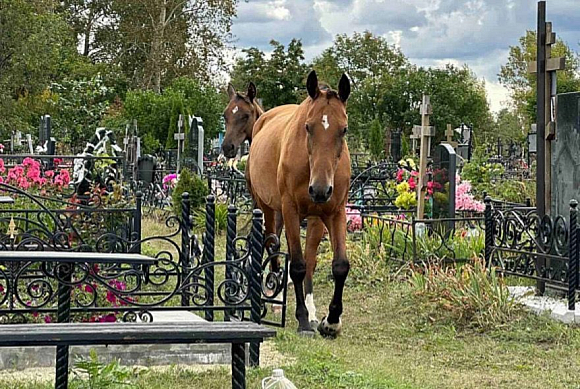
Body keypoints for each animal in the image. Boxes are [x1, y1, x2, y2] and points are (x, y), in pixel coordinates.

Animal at [247, 70, 352, 336]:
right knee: (270, 244)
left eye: (344, 129)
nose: (320, 190)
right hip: (266, 207)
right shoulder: (291, 211)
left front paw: (331, 320)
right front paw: (303, 319)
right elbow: (297, 265)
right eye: (308, 126)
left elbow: (339, 266)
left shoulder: (335, 212)